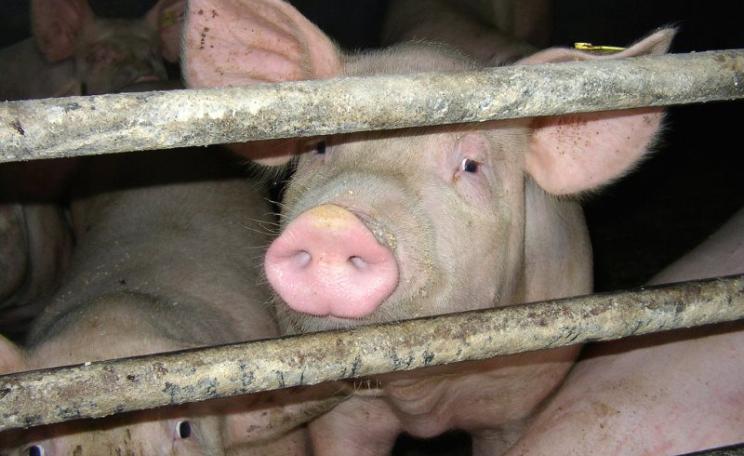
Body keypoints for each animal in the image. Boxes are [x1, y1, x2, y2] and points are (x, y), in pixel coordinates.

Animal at [183, 1, 673, 453]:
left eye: (471, 165)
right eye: (321, 145)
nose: (332, 221)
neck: (421, 400)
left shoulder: (515, 404)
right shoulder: (340, 414)